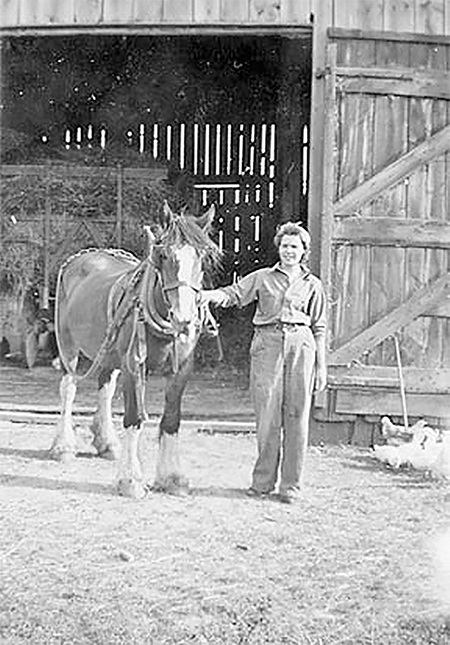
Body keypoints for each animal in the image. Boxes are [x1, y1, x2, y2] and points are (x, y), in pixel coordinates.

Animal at [49, 201, 221, 498]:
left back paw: (107, 443)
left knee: (105, 388)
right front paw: (130, 480)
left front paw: (172, 478)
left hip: (108, 352)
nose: (184, 319)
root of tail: (84, 256)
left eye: (203, 256)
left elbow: (171, 420)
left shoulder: (181, 369)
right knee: (68, 388)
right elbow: (133, 418)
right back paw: (63, 447)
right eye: (163, 254)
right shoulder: (133, 364)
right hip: (68, 346)